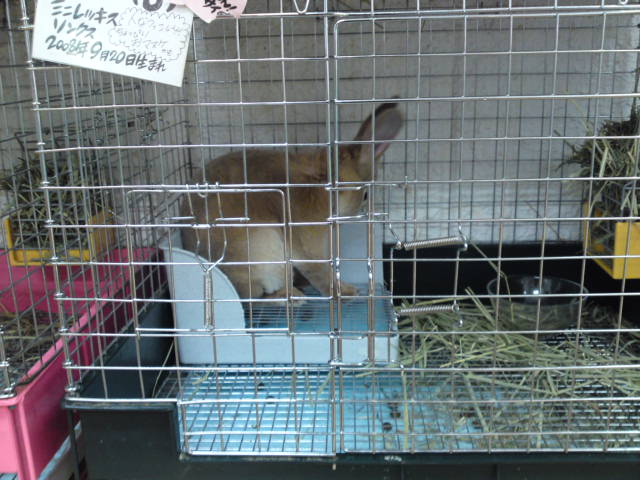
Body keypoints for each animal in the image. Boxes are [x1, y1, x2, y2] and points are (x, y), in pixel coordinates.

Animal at [180, 101, 403, 303]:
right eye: (365, 195)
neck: (323, 185)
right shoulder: (306, 248)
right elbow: (320, 272)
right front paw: (346, 292)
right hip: (269, 256)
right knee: (258, 297)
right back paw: (294, 298)